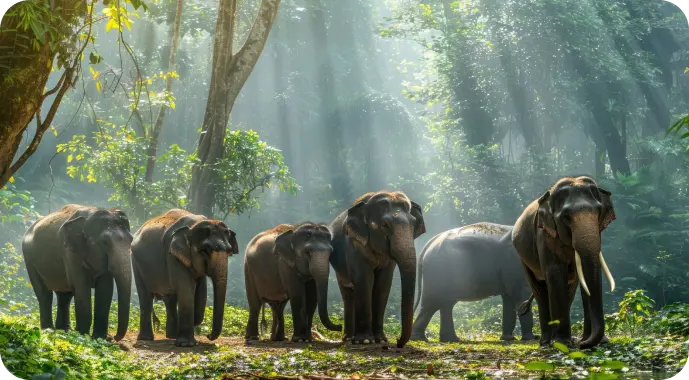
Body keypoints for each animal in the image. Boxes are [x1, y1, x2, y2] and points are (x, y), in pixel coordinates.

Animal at [22, 205, 133, 342]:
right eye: (105, 242)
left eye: (131, 240)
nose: (114, 337)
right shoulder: (70, 252)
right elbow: (81, 287)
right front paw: (83, 336)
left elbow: (105, 288)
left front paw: (98, 338)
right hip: (29, 259)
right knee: (44, 294)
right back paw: (48, 330)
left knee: (64, 295)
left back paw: (64, 330)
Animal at [130, 209, 238, 346]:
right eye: (206, 250)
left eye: (229, 251)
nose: (208, 336)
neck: (195, 225)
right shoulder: (172, 255)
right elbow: (186, 289)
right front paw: (186, 344)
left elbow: (201, 293)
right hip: (136, 262)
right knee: (145, 296)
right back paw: (146, 338)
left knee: (170, 298)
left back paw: (171, 335)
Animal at [330, 190, 424, 348]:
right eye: (385, 225)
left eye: (413, 224)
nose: (398, 341)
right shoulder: (355, 244)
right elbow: (364, 280)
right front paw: (364, 341)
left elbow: (383, 284)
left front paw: (381, 340)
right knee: (348, 295)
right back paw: (348, 338)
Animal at [408, 221, 536, 342]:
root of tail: (431, 242)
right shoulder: (516, 264)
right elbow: (520, 293)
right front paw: (530, 338)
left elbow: (509, 297)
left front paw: (508, 338)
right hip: (437, 272)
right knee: (432, 303)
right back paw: (420, 339)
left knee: (446, 304)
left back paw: (450, 339)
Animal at [510, 177, 620, 348]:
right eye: (566, 217)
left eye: (598, 212)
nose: (581, 343)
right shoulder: (545, 235)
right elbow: (555, 273)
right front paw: (562, 342)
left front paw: (597, 341)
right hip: (523, 259)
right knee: (540, 291)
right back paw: (546, 342)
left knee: (569, 290)